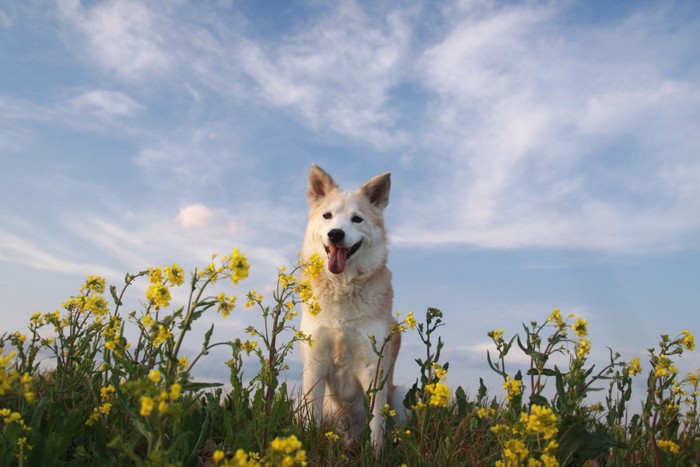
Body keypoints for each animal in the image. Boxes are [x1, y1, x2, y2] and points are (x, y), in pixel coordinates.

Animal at [298, 165, 402, 450]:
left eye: (357, 219)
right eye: (327, 216)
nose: (336, 233)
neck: (343, 288)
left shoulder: (373, 366)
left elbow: (376, 423)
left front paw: (376, 453)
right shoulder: (315, 363)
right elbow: (311, 415)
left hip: (400, 396)